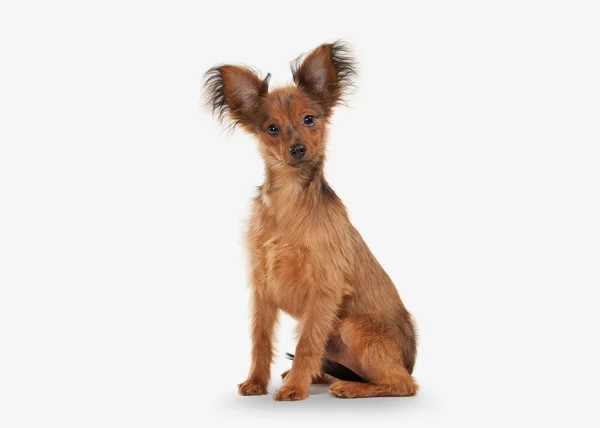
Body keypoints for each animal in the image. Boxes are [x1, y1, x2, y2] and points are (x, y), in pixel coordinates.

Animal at [204, 41, 414, 400]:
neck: (290, 200)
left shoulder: (323, 292)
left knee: (403, 384)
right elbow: (260, 340)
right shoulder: (262, 288)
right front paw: (257, 381)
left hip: (352, 326)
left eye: (309, 119)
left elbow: (307, 344)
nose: (298, 148)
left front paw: (294, 389)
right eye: (272, 129)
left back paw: (348, 387)